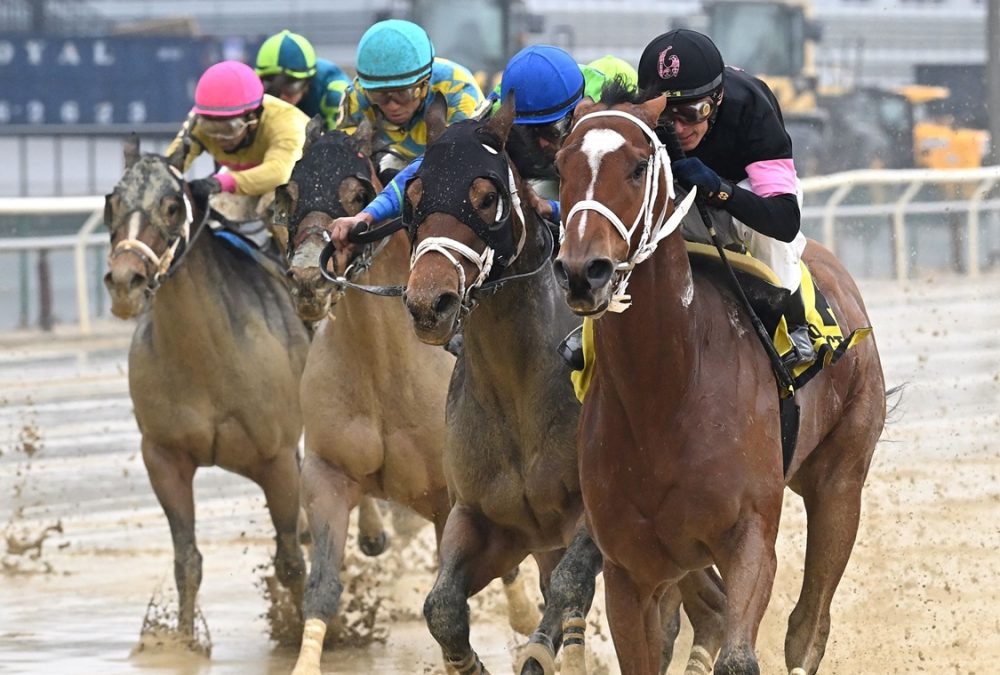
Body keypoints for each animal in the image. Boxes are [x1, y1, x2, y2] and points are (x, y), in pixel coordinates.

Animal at [102, 136, 308, 644]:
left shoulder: (277, 459)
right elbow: (187, 561)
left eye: (172, 205)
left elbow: (292, 562)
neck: (206, 359)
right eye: (111, 201)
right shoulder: (163, 456)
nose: (125, 282)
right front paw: (184, 642)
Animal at [272, 120, 540, 675]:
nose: (308, 280)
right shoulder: (328, 476)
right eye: (291, 193)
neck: (382, 371)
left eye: (358, 194)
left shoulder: (447, 500)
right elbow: (322, 588)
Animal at [402, 100, 724, 675]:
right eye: (414, 195)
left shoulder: (596, 523)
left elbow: (567, 591)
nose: (428, 302)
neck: (517, 388)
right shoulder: (485, 521)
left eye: (486, 198)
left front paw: (549, 650)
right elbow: (441, 607)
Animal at [552, 87, 888, 672]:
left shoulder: (750, 538)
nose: (582, 271)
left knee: (809, 623)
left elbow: (739, 653)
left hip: (840, 477)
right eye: (561, 165)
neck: (666, 391)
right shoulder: (629, 571)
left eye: (638, 167)